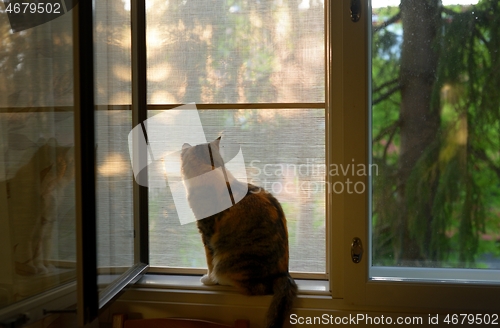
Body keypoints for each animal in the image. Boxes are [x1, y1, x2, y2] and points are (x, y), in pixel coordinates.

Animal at [181, 136, 294, 328]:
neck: (210, 169)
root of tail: (283, 274)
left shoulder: (207, 232)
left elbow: (209, 261)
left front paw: (209, 279)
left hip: (230, 259)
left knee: (256, 288)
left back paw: (220, 279)